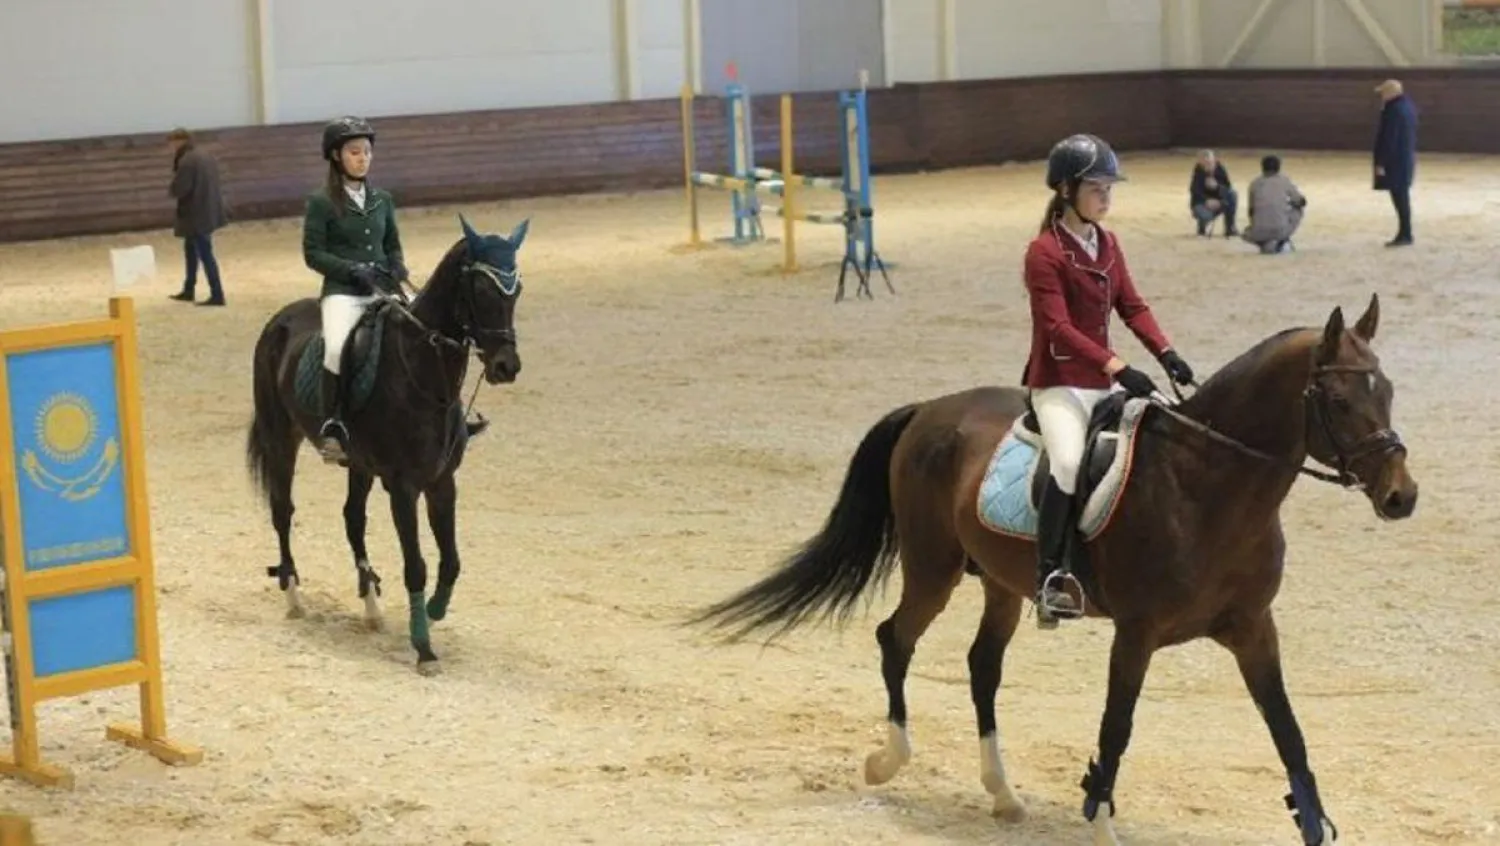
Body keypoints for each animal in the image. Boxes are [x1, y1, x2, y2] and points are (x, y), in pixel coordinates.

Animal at [244, 216, 528, 675]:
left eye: (516, 290)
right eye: (483, 291)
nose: (506, 367)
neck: (424, 375)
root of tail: (281, 320)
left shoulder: (441, 482)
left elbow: (451, 561)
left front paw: (434, 611)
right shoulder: (402, 486)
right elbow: (416, 565)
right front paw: (424, 648)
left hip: (359, 464)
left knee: (353, 519)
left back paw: (372, 605)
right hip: (281, 437)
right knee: (282, 511)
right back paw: (294, 596)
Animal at [690, 292, 1416, 846]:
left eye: (1388, 390)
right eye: (1341, 401)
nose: (1400, 497)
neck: (1207, 484)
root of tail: (928, 410)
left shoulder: (1252, 628)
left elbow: (1287, 730)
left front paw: (1315, 824)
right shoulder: (1138, 631)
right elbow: (1117, 726)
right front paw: (1100, 823)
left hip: (1002, 584)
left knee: (982, 666)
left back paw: (1004, 794)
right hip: (932, 567)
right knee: (896, 639)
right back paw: (888, 761)